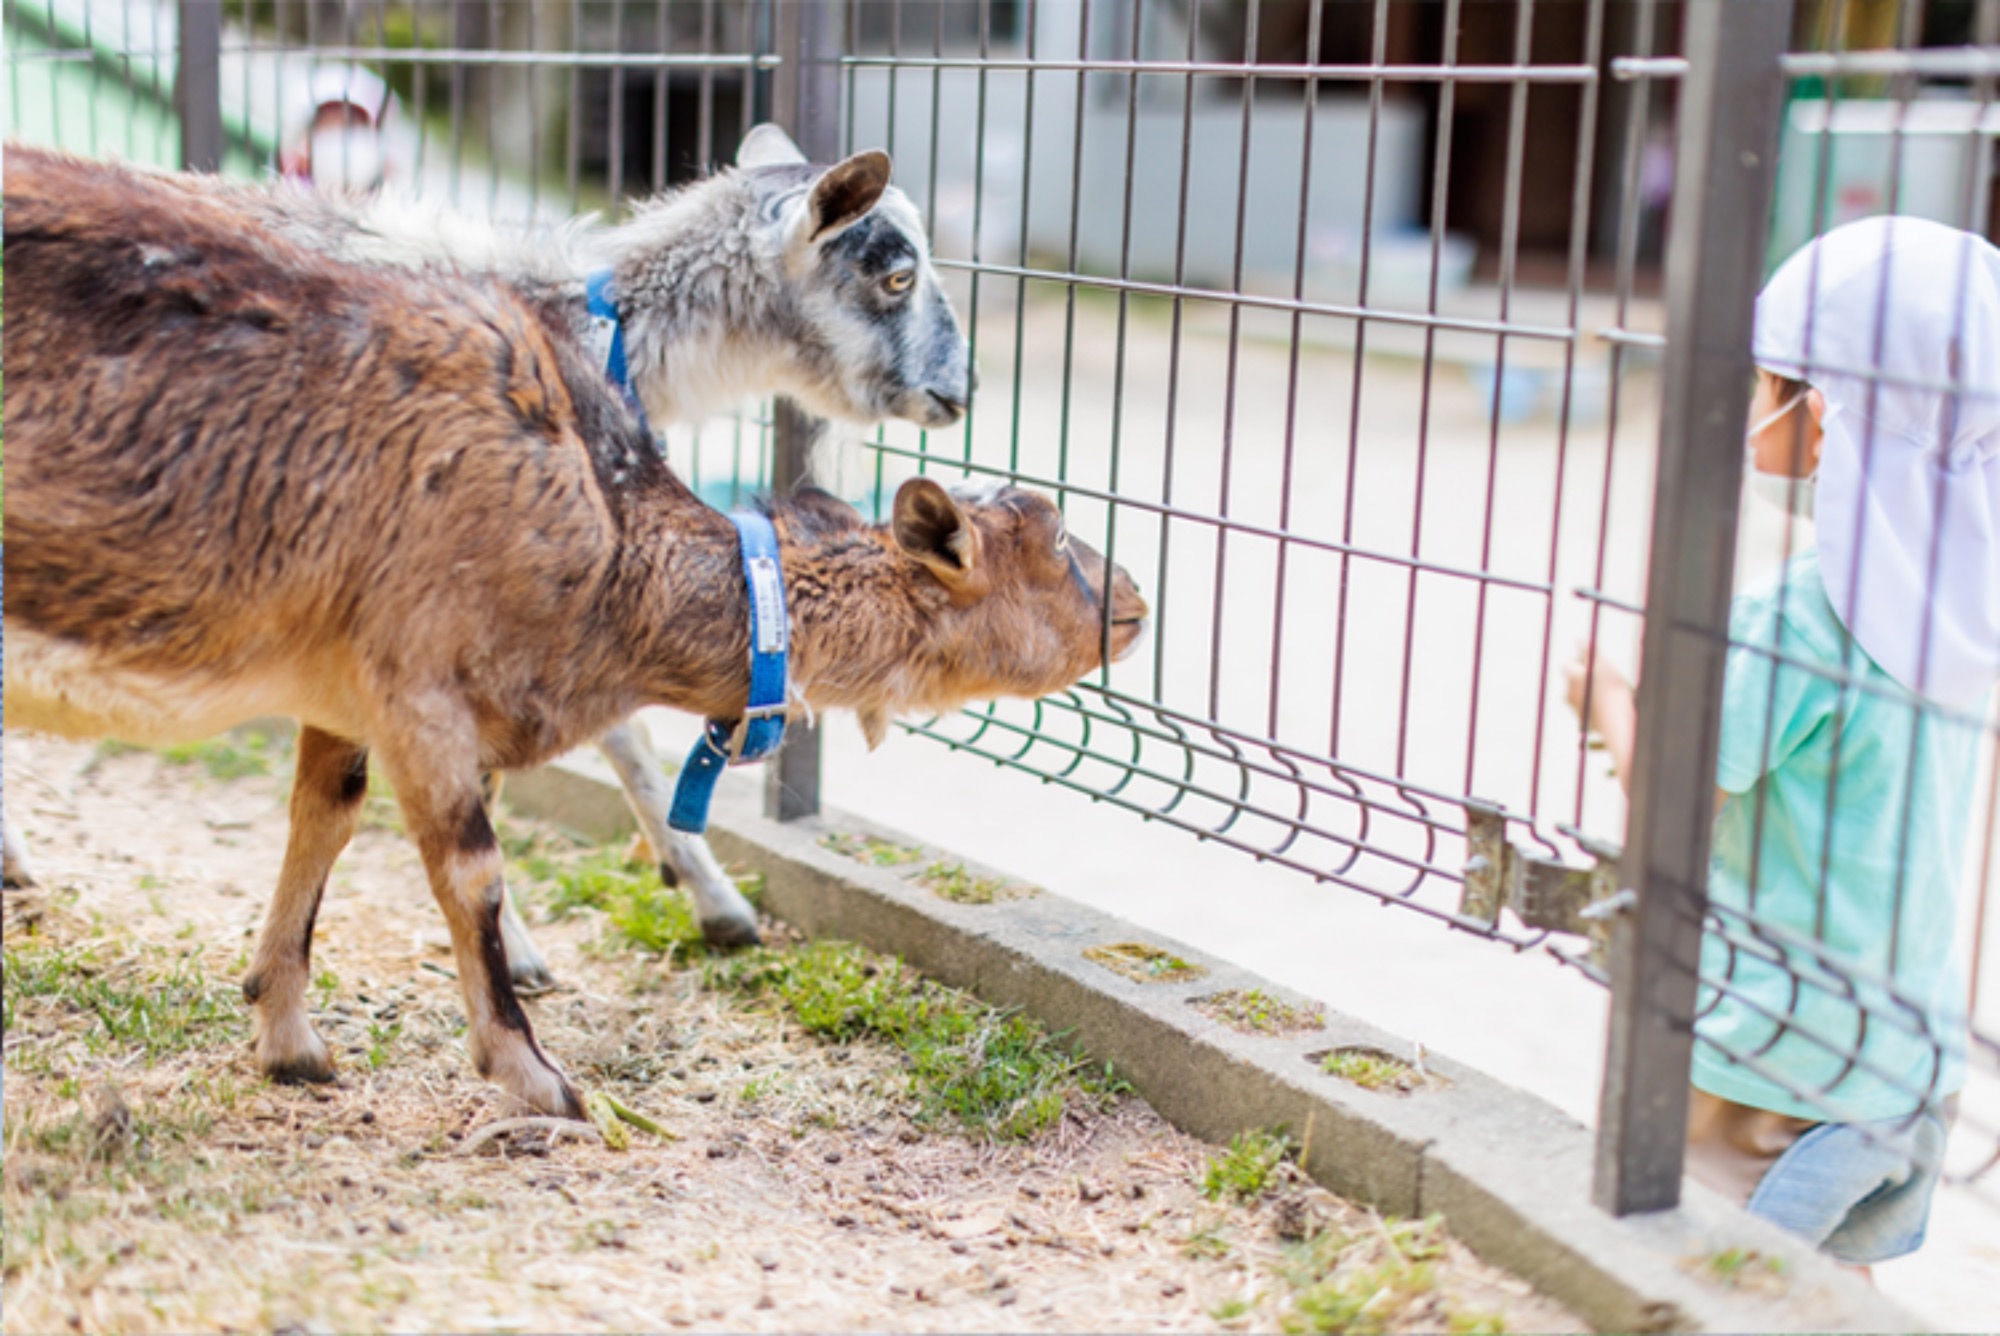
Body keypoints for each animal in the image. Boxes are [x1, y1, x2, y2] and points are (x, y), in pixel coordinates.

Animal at [0, 146, 1152, 1120]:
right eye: (896, 272)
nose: (959, 392)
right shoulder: (418, 657)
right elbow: (511, 822)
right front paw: (561, 1003)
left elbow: (352, 808)